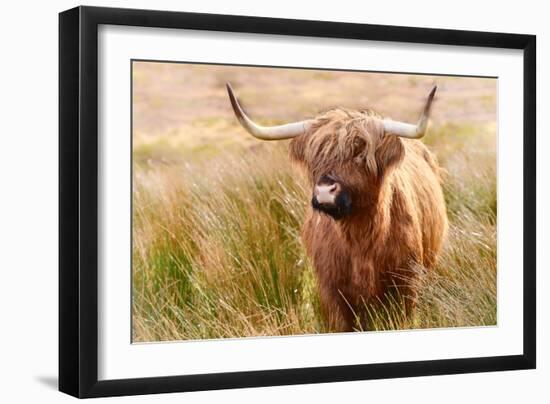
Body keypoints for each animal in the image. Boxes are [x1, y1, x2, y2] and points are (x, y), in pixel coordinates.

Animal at [227, 83, 448, 332]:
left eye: (360, 153)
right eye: (315, 156)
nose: (325, 191)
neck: (360, 237)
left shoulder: (406, 285)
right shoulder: (332, 290)